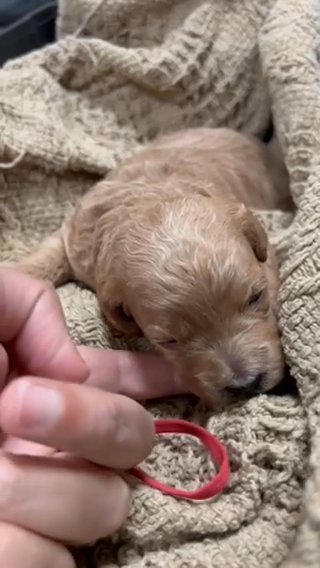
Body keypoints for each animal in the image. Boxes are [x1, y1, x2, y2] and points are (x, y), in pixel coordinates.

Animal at [8, 129, 292, 404]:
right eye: (168, 341)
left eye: (256, 297)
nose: (245, 385)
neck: (148, 197)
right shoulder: (75, 236)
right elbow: (48, 256)